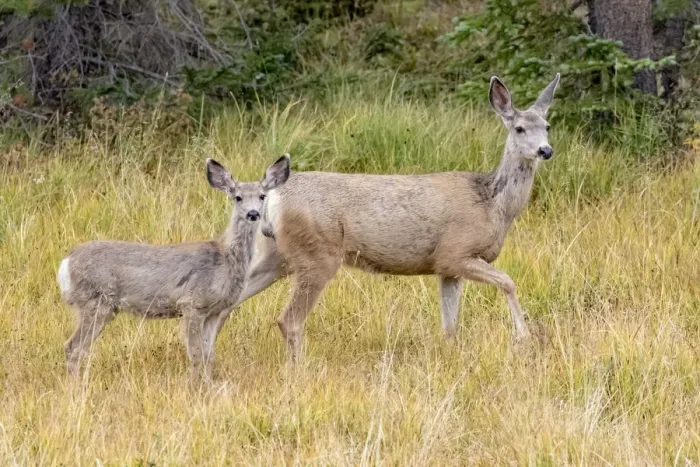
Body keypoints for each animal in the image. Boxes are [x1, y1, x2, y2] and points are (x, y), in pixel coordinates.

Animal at [57, 155, 291, 380]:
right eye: (238, 197)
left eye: (262, 196)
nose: (253, 214)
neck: (224, 258)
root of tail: (65, 263)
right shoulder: (192, 303)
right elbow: (196, 355)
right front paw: (194, 387)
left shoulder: (215, 311)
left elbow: (209, 355)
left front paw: (208, 386)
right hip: (96, 301)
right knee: (72, 347)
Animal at [209, 74, 561, 361]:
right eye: (519, 128)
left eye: (547, 127)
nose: (545, 151)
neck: (492, 204)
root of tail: (273, 198)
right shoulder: (456, 252)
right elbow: (508, 282)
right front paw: (522, 337)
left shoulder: (446, 268)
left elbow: (450, 326)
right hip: (317, 254)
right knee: (288, 320)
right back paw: (298, 371)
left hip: (277, 254)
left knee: (228, 303)